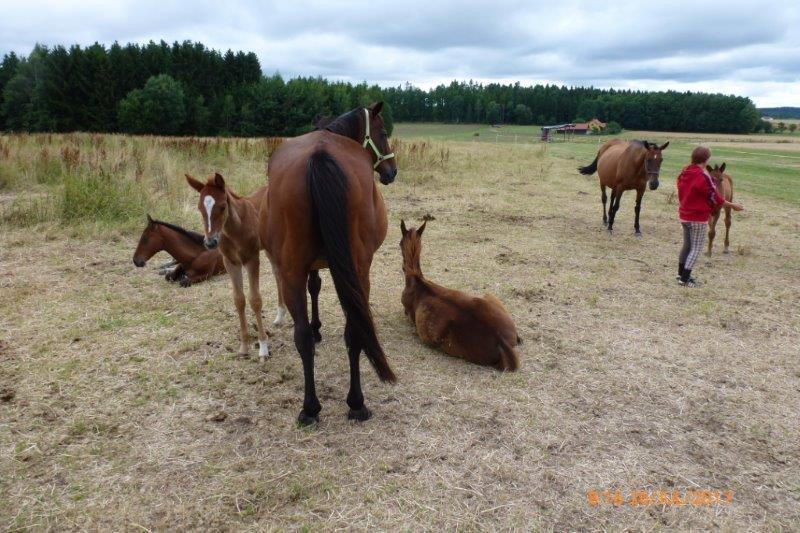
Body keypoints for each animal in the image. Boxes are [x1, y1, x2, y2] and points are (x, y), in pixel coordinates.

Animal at [186, 172, 270, 360]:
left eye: (223, 207)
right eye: (199, 208)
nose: (210, 243)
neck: (236, 230)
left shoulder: (252, 259)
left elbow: (255, 300)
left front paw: (263, 347)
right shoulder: (231, 262)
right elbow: (239, 300)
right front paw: (244, 347)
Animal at [260, 102, 398, 426]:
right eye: (383, 132)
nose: (392, 171)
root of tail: (320, 156)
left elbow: (314, 288)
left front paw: (316, 327)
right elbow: (316, 287)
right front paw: (318, 327)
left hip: (292, 271)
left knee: (305, 336)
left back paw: (313, 407)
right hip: (358, 271)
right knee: (350, 330)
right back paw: (352, 404)